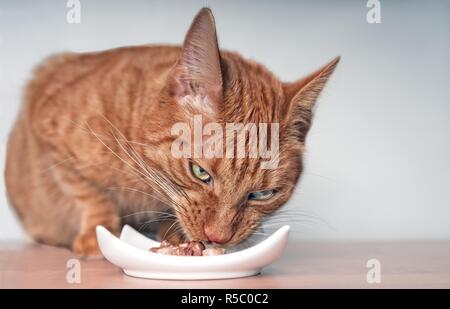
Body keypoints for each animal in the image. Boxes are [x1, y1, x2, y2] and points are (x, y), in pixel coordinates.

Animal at [5, 7, 340, 255]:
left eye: (262, 194)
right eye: (200, 172)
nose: (217, 238)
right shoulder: (48, 124)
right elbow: (90, 194)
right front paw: (98, 235)